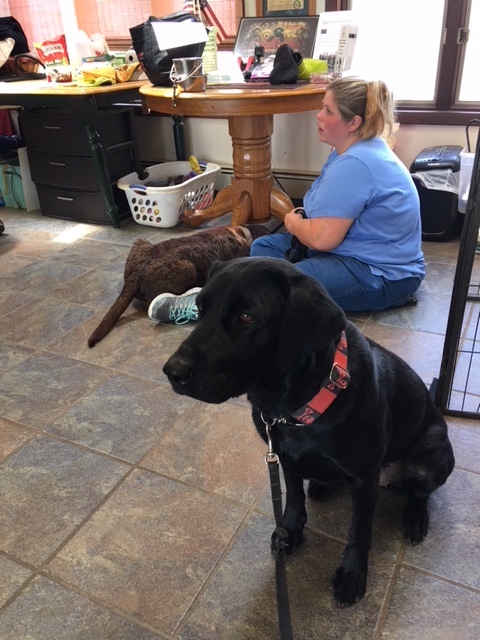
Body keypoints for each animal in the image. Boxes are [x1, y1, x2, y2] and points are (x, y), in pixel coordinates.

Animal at [164, 258, 454, 608]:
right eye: (199, 308)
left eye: (246, 317)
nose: (172, 372)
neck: (293, 407)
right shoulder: (284, 457)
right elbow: (293, 499)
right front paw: (289, 533)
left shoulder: (364, 478)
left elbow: (359, 531)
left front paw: (352, 574)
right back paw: (321, 484)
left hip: (435, 452)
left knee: (422, 492)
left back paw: (414, 518)